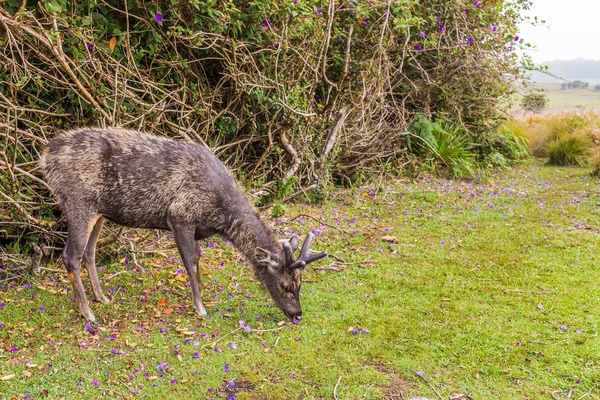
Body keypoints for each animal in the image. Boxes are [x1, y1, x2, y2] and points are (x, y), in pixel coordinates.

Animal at [41, 130, 328, 324]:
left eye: (300, 283)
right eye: (285, 285)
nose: (298, 314)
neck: (219, 215)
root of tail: (45, 157)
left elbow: (198, 261)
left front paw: (202, 298)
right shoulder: (180, 216)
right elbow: (190, 262)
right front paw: (200, 308)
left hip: (99, 212)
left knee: (89, 253)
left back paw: (101, 298)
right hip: (78, 202)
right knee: (70, 256)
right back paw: (88, 313)